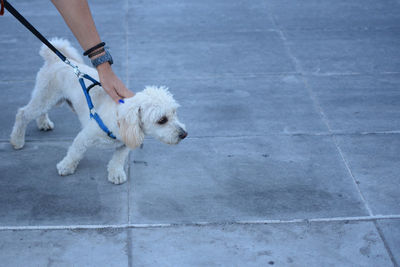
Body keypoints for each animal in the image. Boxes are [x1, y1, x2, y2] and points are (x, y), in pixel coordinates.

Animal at [9, 38, 188, 185]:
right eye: (162, 120)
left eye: (175, 113)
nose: (184, 134)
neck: (120, 120)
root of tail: (55, 59)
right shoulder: (84, 137)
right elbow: (74, 152)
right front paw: (66, 166)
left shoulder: (125, 144)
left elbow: (118, 159)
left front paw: (116, 173)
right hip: (46, 96)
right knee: (22, 113)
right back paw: (17, 140)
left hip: (53, 100)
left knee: (39, 112)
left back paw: (43, 123)